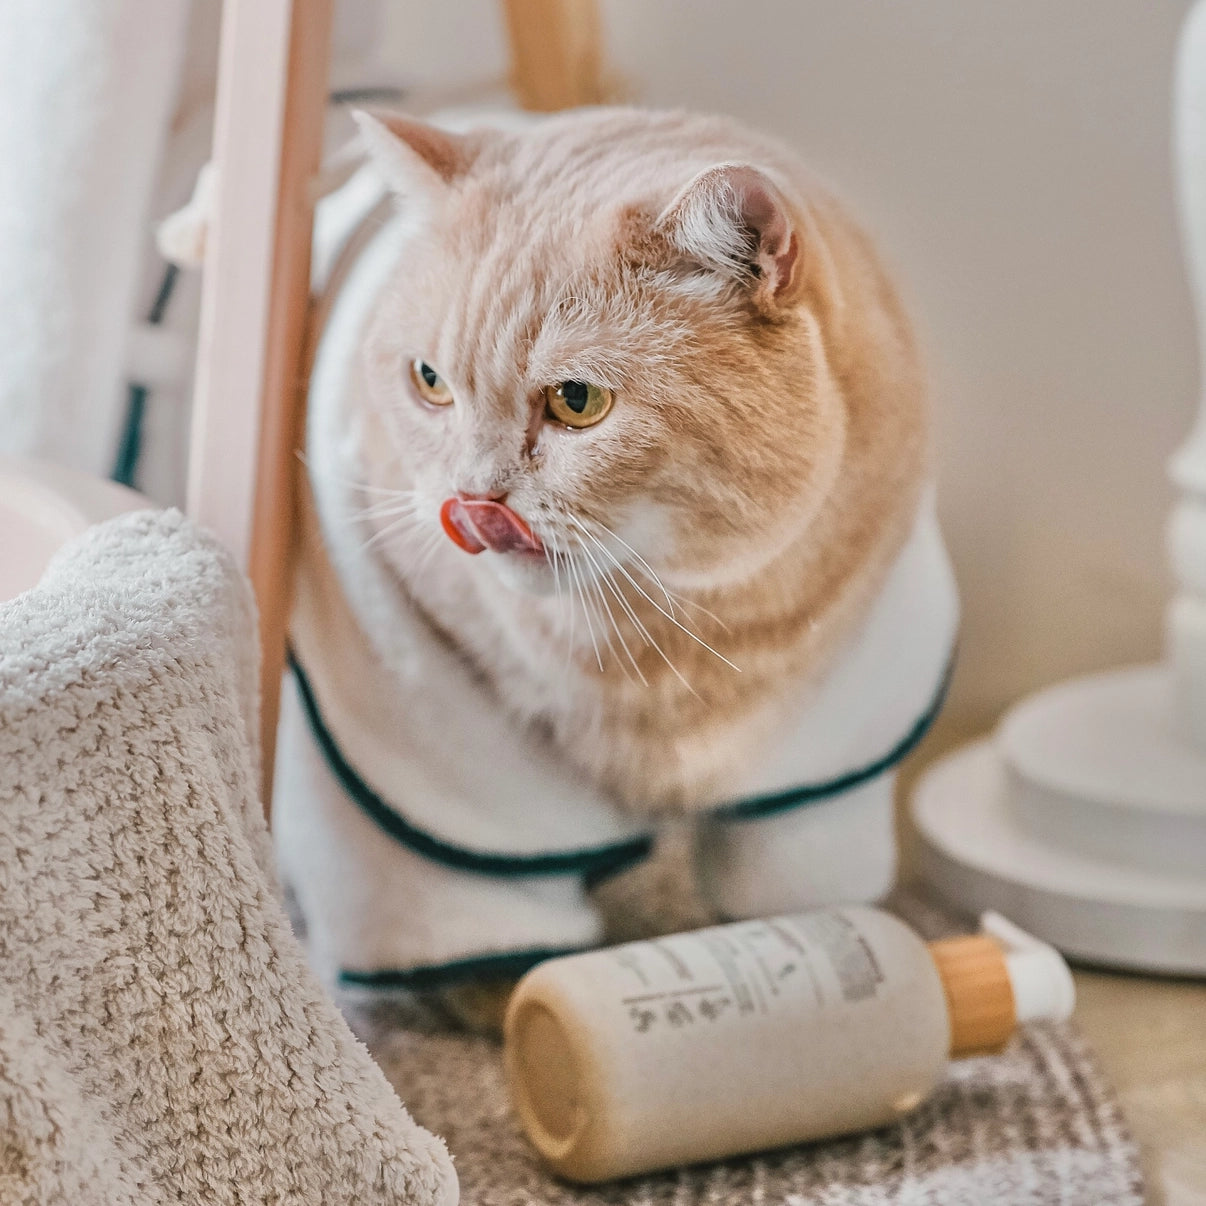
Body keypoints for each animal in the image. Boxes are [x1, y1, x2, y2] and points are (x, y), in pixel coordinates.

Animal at [276, 106, 959, 1017]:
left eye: (578, 402)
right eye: (430, 382)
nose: (473, 501)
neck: (672, 637)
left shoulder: (828, 758)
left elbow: (798, 903)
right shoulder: (427, 754)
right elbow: (471, 912)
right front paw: (505, 1004)